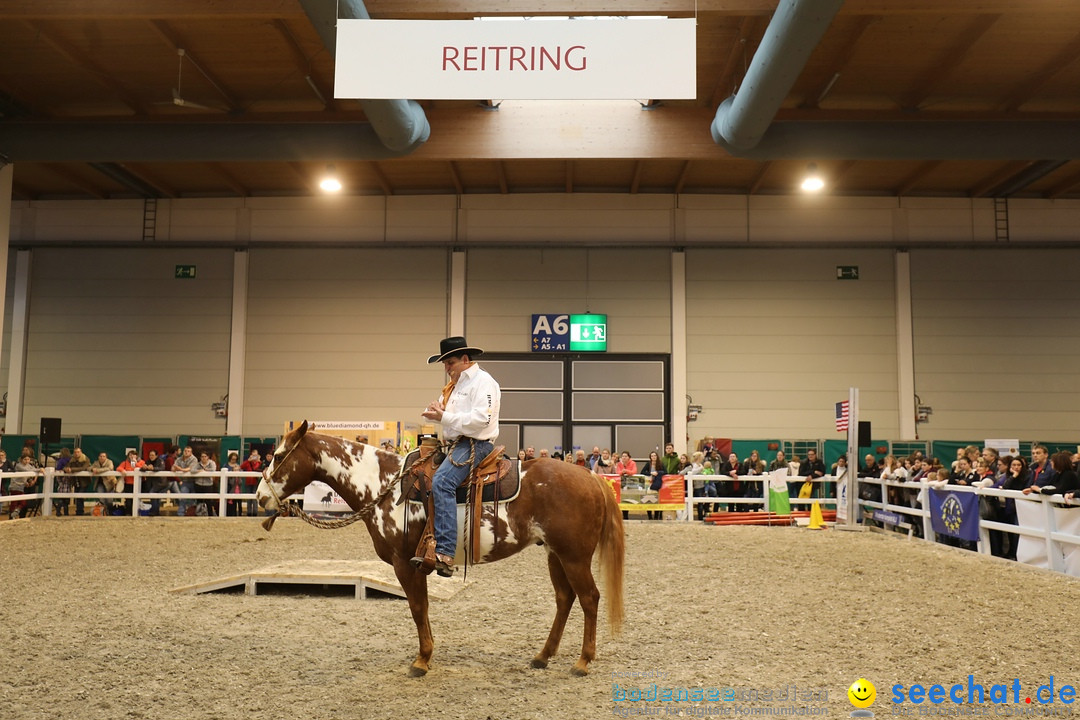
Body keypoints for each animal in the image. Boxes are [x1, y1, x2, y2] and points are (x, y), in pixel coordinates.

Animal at [254, 418, 626, 677]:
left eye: (277, 455)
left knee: (590, 598)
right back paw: (542, 656)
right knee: (565, 599)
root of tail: (592, 478)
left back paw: (582, 661)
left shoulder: (405, 562)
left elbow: (418, 608)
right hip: (554, 554)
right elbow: (424, 609)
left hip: (574, 556)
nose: (259, 498)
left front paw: (422, 660)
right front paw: (427, 655)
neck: (384, 486)